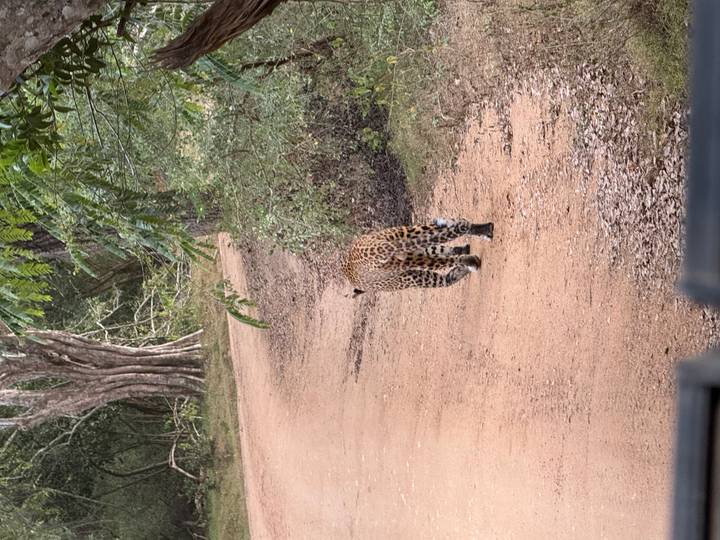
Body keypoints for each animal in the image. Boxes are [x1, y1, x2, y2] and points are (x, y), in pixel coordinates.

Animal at [342, 218, 494, 296]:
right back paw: (485, 231)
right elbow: (441, 249)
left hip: (404, 243)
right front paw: (462, 250)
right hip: (408, 242)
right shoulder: (417, 253)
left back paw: (472, 261)